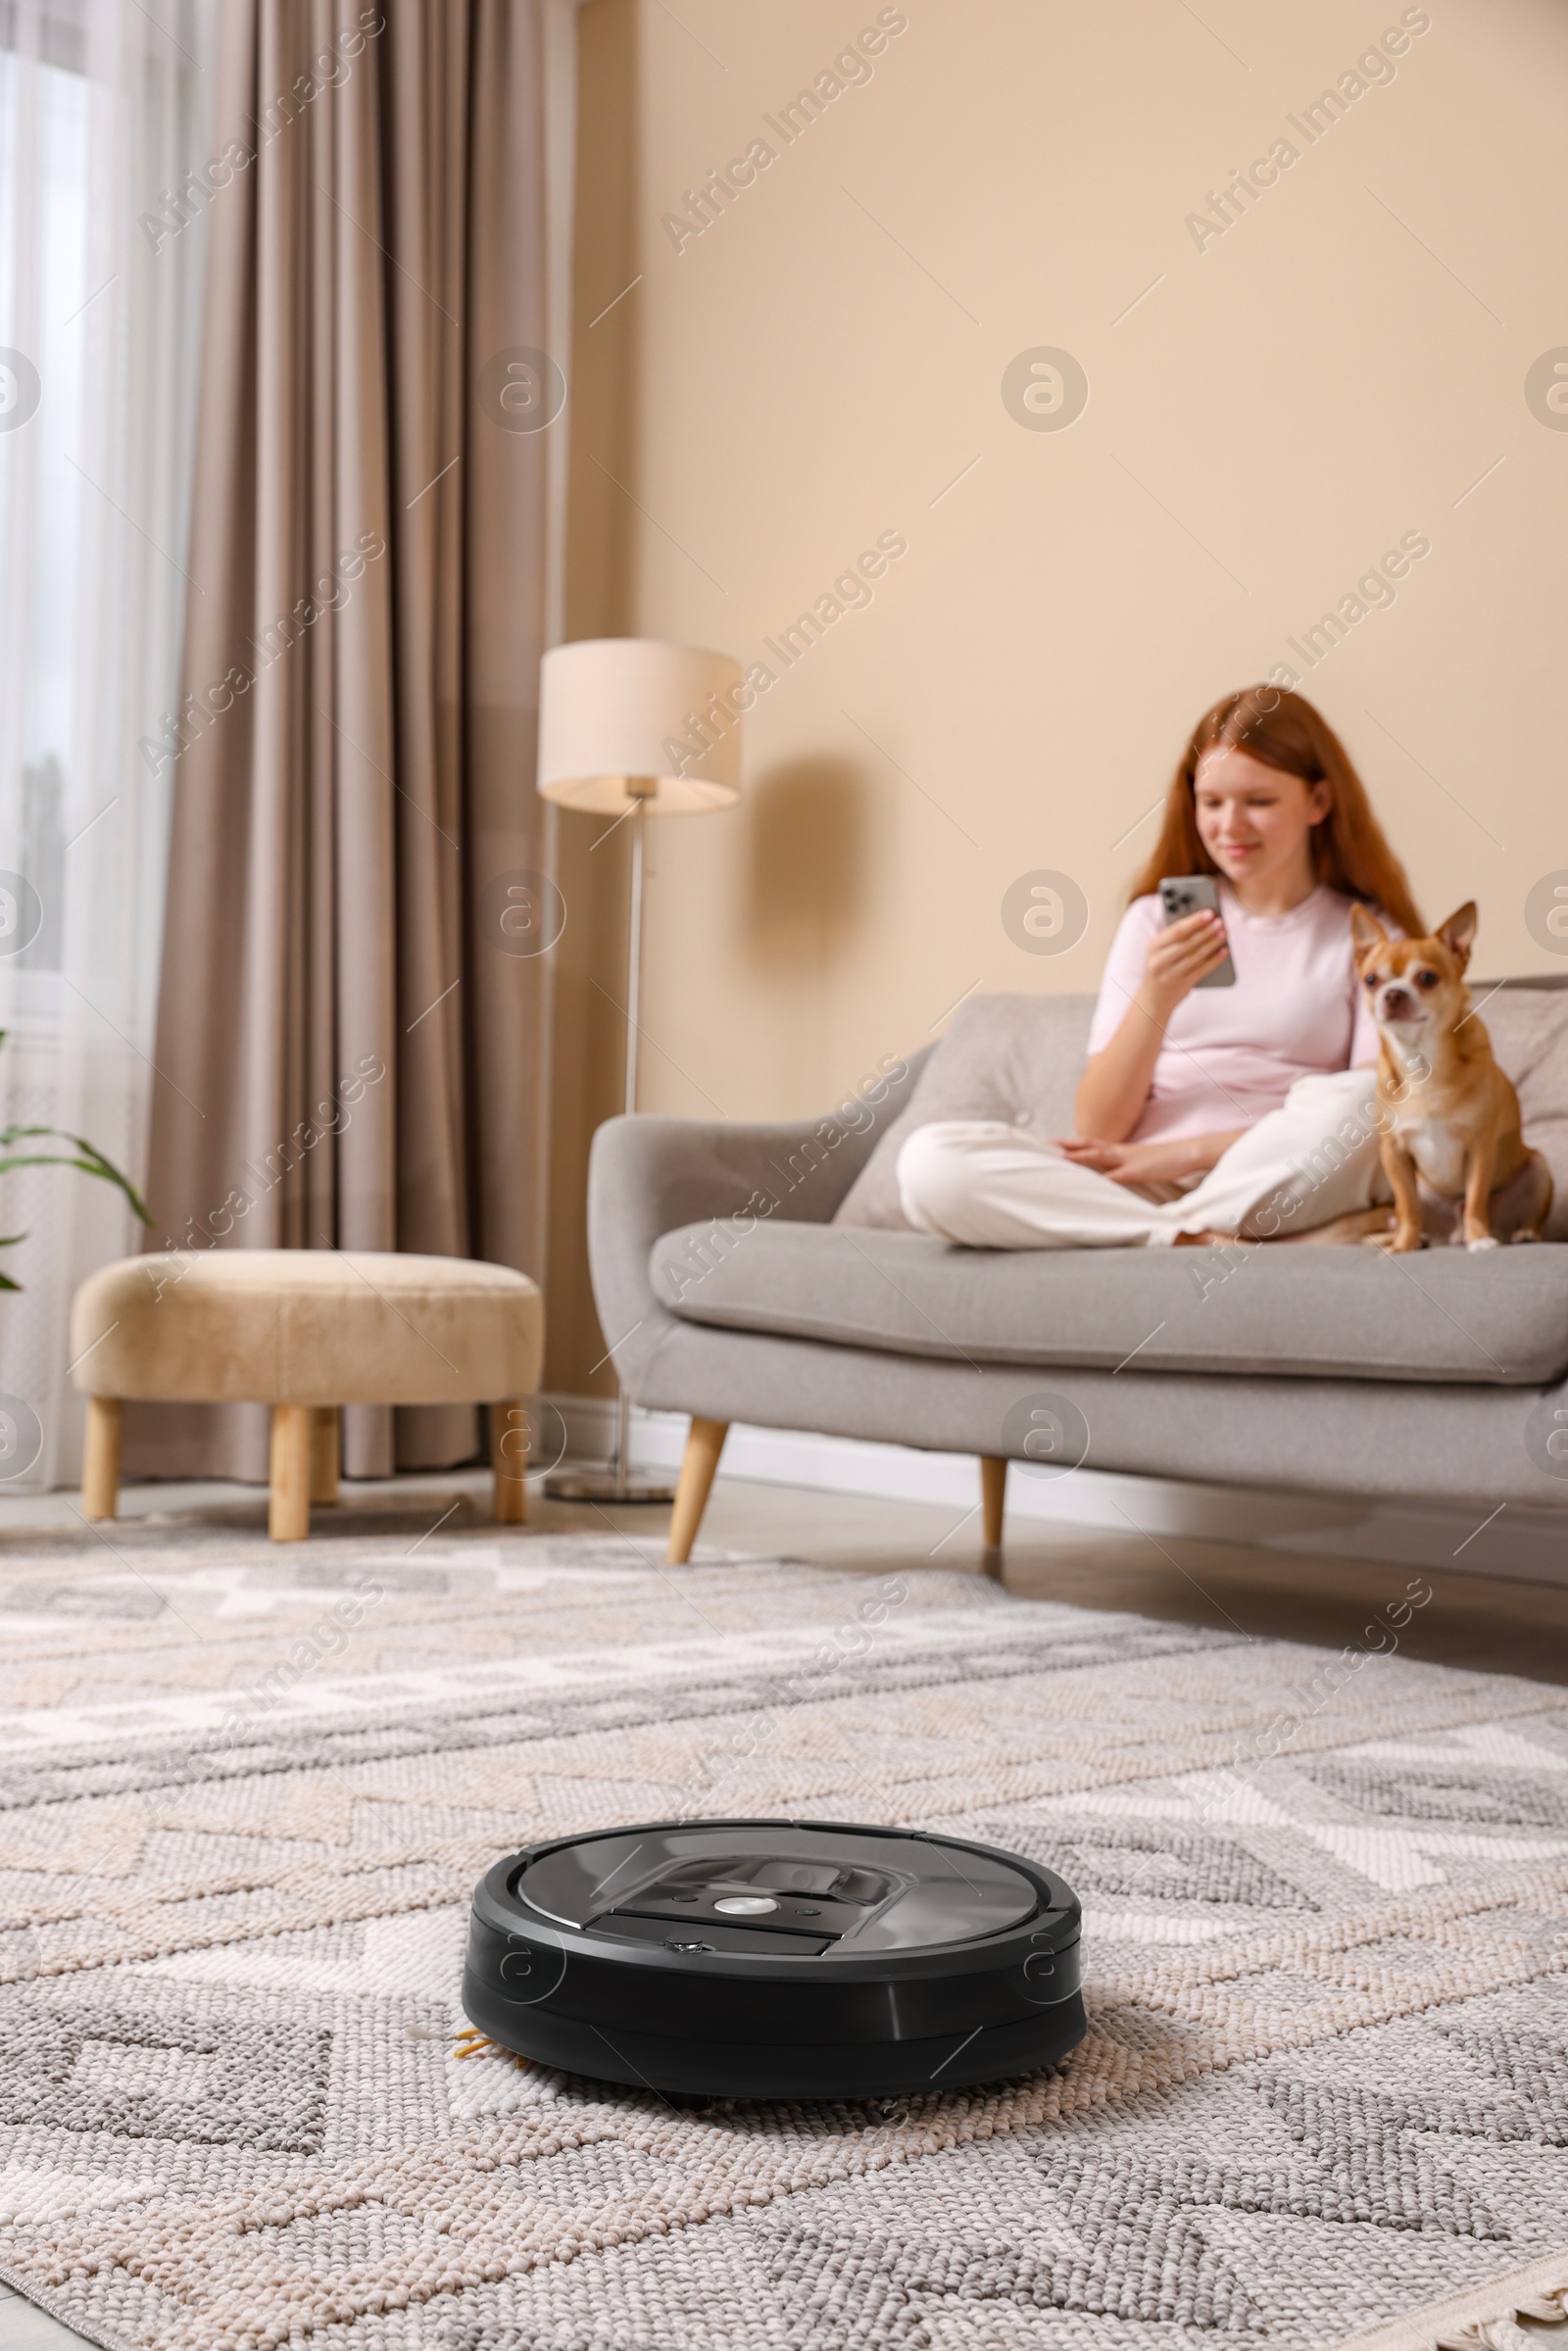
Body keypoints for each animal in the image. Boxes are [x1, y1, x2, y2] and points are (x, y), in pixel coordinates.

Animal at [1353, 898, 1560, 1250]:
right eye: (1371, 980)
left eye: (1427, 977)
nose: (1393, 993)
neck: (1422, 1062)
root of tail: (1451, 1235)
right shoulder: (1394, 1153)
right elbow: (1407, 1206)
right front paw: (1403, 1246)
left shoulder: (1480, 1146)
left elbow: (1476, 1198)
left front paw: (1480, 1240)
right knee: (1407, 1213)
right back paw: (1419, 1238)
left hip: (1538, 1168)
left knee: (1521, 1211)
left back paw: (1521, 1234)